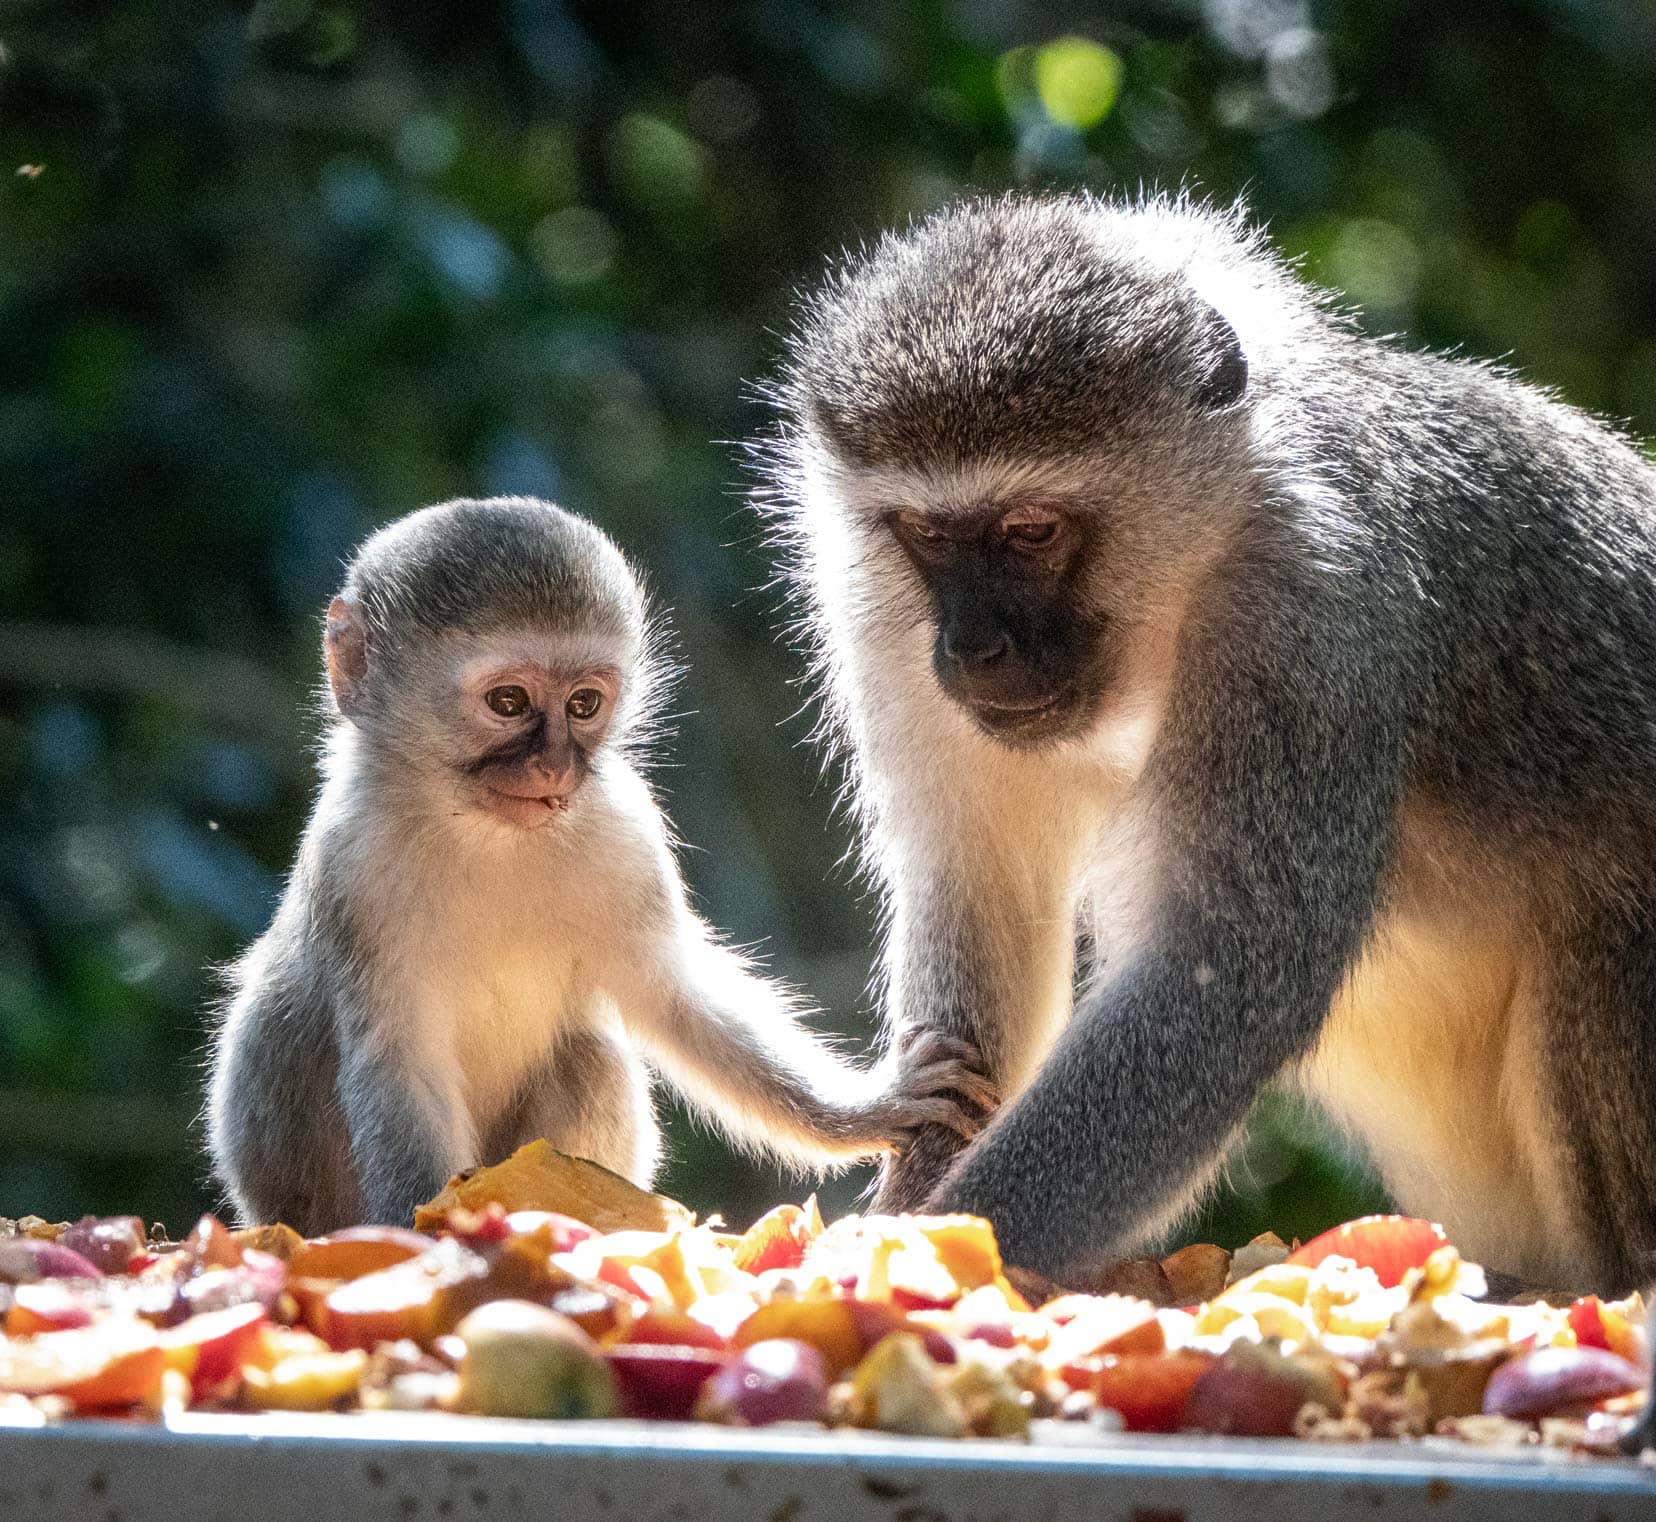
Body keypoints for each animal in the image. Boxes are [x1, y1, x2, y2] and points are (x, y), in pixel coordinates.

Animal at [203, 500, 980, 1238]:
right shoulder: (350, 863)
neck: (484, 832)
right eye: (509, 702)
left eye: (584, 704)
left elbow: (673, 994)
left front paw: (865, 1108)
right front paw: (429, 1241)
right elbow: (396, 1062)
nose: (554, 765)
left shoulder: (627, 832)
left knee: (588, 1057)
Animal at [768, 193, 1656, 1344]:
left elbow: (1223, 981)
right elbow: (985, 905)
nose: (974, 646)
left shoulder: (1309, 609)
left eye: (1030, 530)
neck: (1188, 573)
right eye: (928, 535)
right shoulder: (881, 622)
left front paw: (927, 1263)